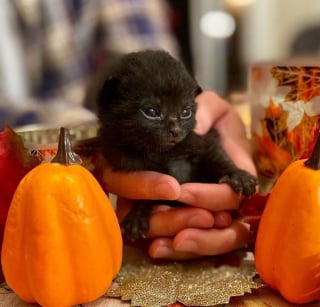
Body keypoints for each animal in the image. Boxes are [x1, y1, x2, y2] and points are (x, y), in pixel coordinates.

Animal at [97, 50, 258, 241]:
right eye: (151, 112)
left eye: (186, 112)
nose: (176, 130)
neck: (164, 152)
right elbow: (147, 195)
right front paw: (136, 217)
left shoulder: (204, 138)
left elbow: (218, 156)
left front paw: (240, 176)